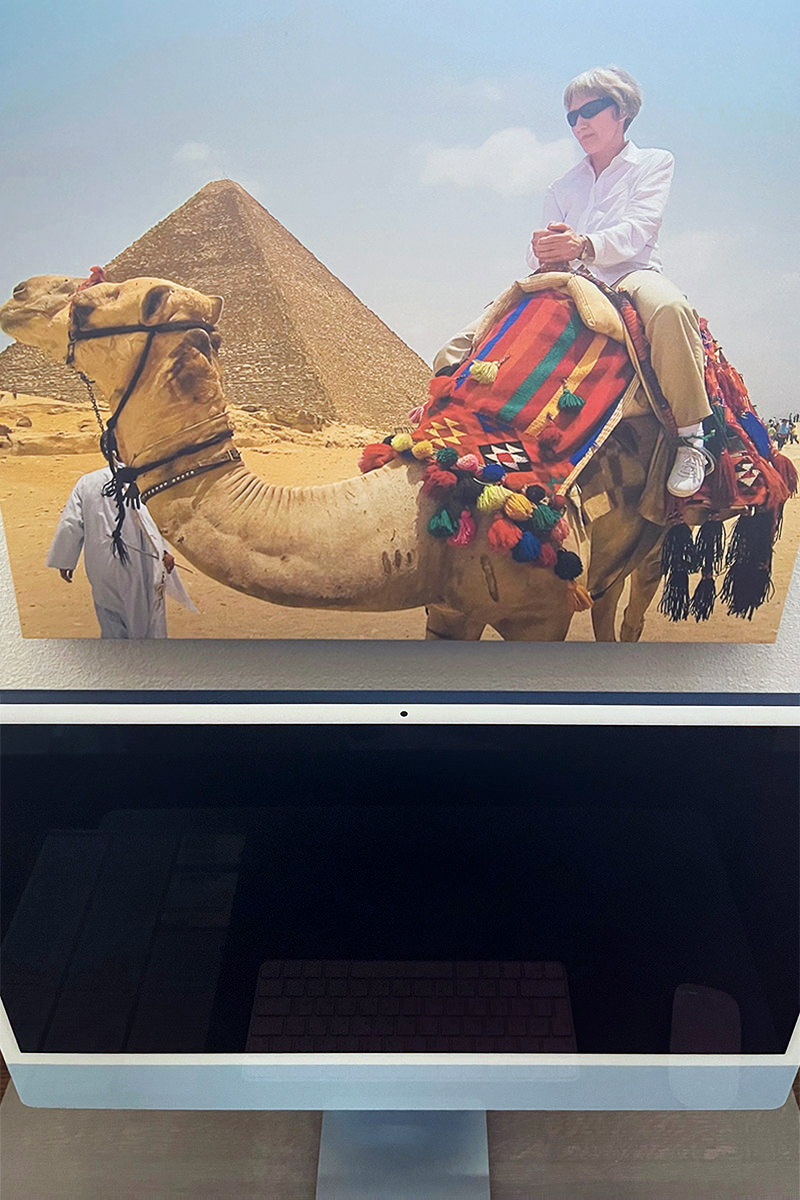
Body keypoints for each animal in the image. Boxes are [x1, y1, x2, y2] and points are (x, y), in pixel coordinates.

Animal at [0, 273, 671, 643]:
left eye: (92, 301)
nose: (17, 291)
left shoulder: (540, 616)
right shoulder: (450, 606)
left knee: (635, 604)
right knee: (608, 598)